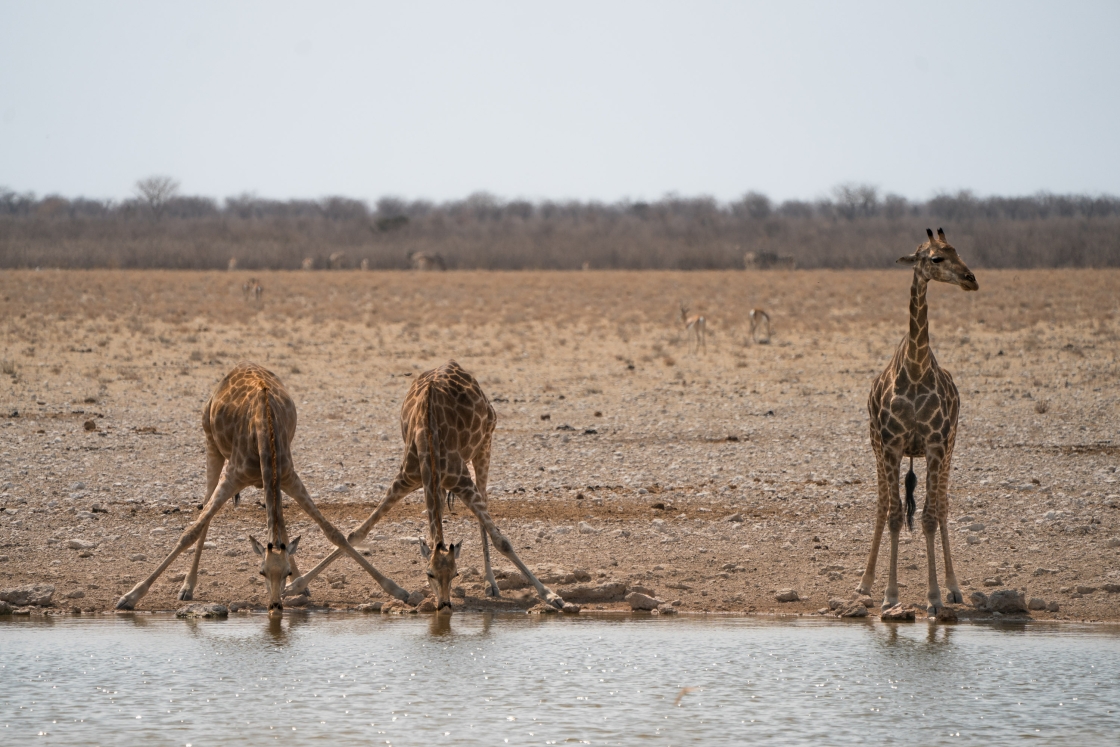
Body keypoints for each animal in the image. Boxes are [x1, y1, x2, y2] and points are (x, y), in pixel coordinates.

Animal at [112, 360, 412, 613]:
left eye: (285, 572)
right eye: (260, 573)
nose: (275, 606)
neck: (264, 431)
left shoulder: (289, 476)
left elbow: (334, 533)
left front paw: (402, 591)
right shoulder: (233, 475)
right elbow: (190, 532)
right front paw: (130, 596)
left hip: (273, 479)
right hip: (211, 445)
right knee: (205, 511)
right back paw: (187, 587)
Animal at [284, 358, 564, 609]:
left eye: (456, 574)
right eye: (429, 574)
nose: (444, 604)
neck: (428, 440)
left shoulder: (461, 481)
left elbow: (502, 540)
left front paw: (552, 596)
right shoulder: (404, 480)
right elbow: (357, 533)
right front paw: (294, 586)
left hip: (485, 445)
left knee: (484, 502)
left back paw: (491, 584)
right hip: (441, 481)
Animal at [855, 230, 981, 618]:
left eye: (958, 251)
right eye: (935, 258)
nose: (971, 280)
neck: (915, 368)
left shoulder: (937, 443)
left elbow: (928, 516)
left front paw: (936, 596)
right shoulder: (891, 444)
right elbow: (895, 514)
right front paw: (889, 595)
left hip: (950, 446)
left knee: (942, 507)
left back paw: (954, 588)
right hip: (876, 445)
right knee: (883, 505)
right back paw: (864, 584)